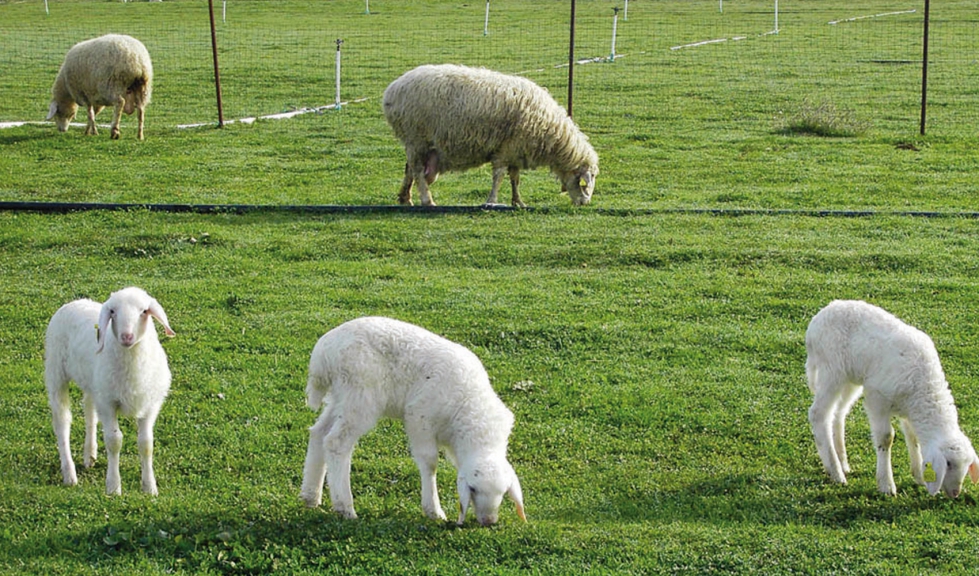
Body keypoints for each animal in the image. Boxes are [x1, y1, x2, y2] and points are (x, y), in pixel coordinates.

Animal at [45, 288, 176, 496]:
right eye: (113, 311)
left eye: (144, 311)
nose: (126, 336)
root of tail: (75, 302)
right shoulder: (108, 404)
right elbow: (114, 441)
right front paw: (114, 487)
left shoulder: (150, 405)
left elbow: (146, 444)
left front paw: (149, 487)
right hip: (55, 372)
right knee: (62, 422)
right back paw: (69, 474)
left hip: (94, 384)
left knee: (89, 410)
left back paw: (89, 454)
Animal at [300, 318, 524, 524]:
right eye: (473, 489)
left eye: (504, 492)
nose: (489, 521)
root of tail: (323, 355)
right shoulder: (420, 417)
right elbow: (430, 462)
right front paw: (433, 510)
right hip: (360, 395)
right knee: (336, 442)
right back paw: (344, 507)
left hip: (341, 397)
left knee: (319, 432)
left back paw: (310, 496)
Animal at [380, 64, 596, 208]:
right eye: (585, 180)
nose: (585, 203)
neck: (551, 133)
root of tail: (392, 90)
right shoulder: (506, 149)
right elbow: (499, 177)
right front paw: (492, 201)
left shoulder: (516, 151)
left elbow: (515, 178)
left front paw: (518, 202)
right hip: (416, 137)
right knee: (417, 171)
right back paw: (427, 200)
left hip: (418, 144)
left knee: (409, 169)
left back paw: (405, 198)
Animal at [804, 300, 979, 498]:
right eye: (948, 464)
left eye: (967, 465)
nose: (955, 493)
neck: (924, 388)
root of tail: (819, 317)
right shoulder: (877, 398)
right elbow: (886, 438)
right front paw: (886, 484)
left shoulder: (909, 409)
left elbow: (913, 438)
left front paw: (919, 475)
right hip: (832, 370)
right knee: (819, 414)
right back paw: (835, 471)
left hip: (850, 378)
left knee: (838, 414)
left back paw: (842, 462)